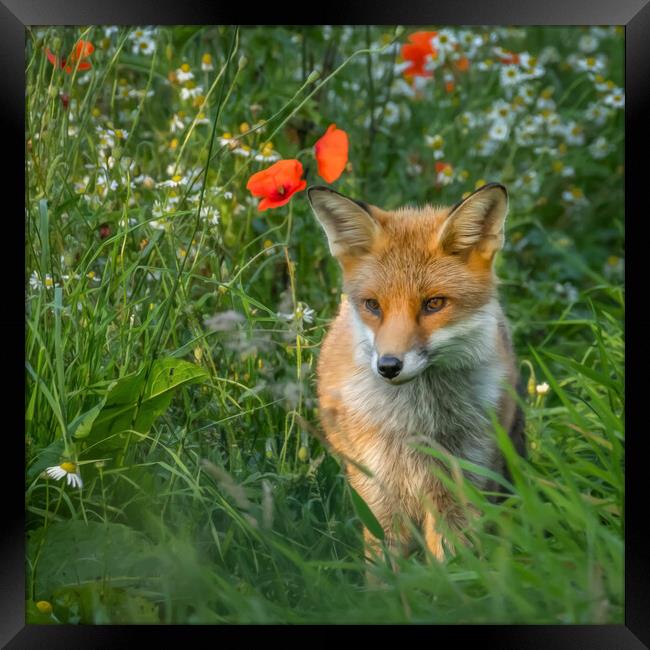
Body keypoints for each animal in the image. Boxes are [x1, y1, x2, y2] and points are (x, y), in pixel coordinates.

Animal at [306, 181, 524, 560]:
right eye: (372, 305)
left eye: (433, 304)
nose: (388, 366)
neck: (417, 425)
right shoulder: (379, 493)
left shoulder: (460, 487)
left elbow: (453, 566)